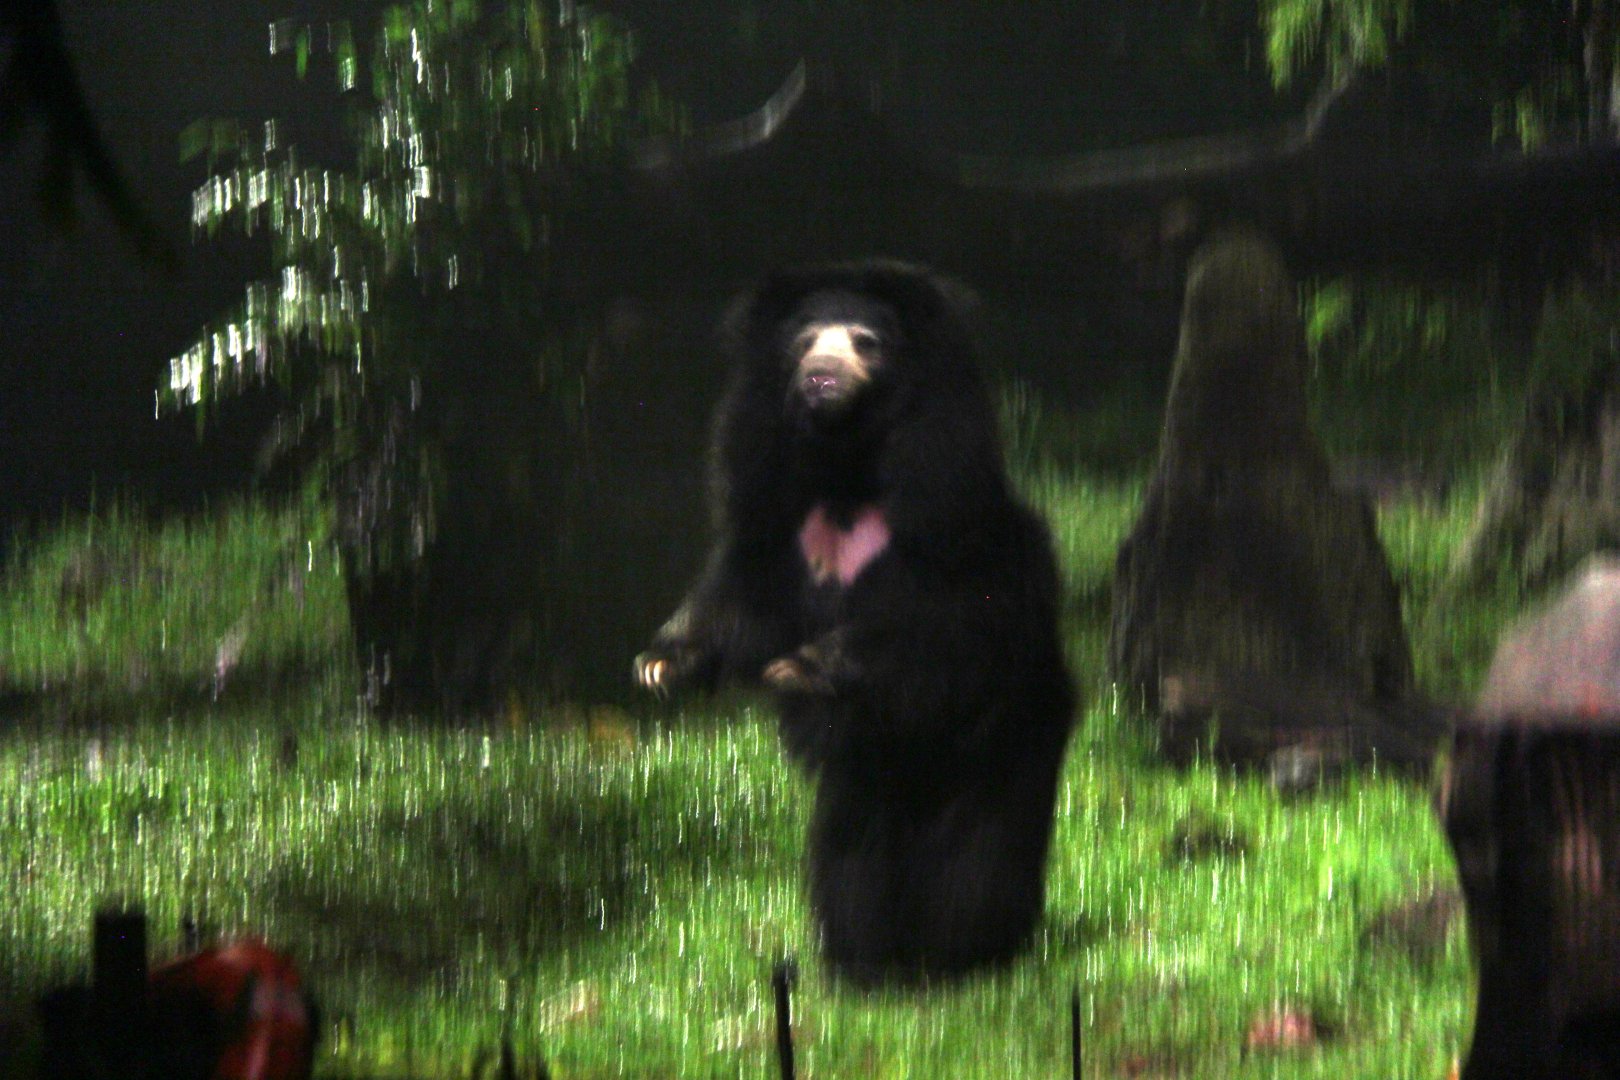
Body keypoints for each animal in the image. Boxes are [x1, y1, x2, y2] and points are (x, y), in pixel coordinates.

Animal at [634, 260, 1076, 985]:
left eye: (866, 342)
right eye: (803, 341)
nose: (820, 377)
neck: (847, 469)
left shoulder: (951, 525)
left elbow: (940, 628)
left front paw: (805, 665)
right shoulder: (781, 515)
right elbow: (746, 600)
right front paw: (664, 662)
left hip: (1008, 739)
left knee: (979, 853)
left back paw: (965, 955)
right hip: (865, 773)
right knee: (851, 851)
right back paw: (864, 962)